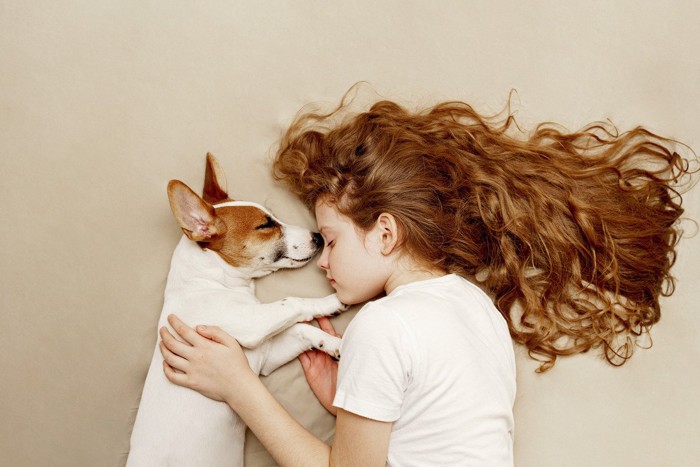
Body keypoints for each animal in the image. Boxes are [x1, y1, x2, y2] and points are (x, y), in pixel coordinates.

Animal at [127, 154, 346, 467]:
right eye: (265, 226)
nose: (318, 236)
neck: (212, 281)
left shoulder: (265, 355)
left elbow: (302, 329)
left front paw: (334, 344)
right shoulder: (252, 324)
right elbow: (293, 303)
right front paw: (331, 300)